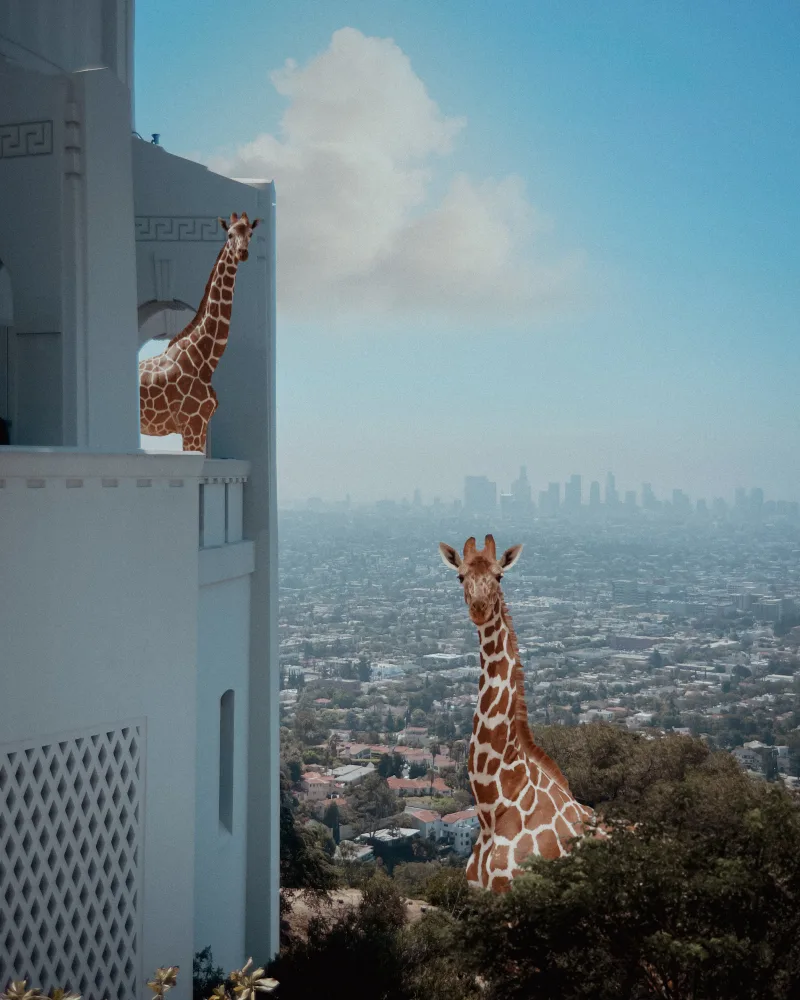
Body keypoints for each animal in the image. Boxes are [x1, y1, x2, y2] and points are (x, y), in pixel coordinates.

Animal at [139, 212, 260, 453]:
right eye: (229, 234)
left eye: (250, 233)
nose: (242, 253)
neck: (206, 360)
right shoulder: (191, 423)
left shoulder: (201, 425)